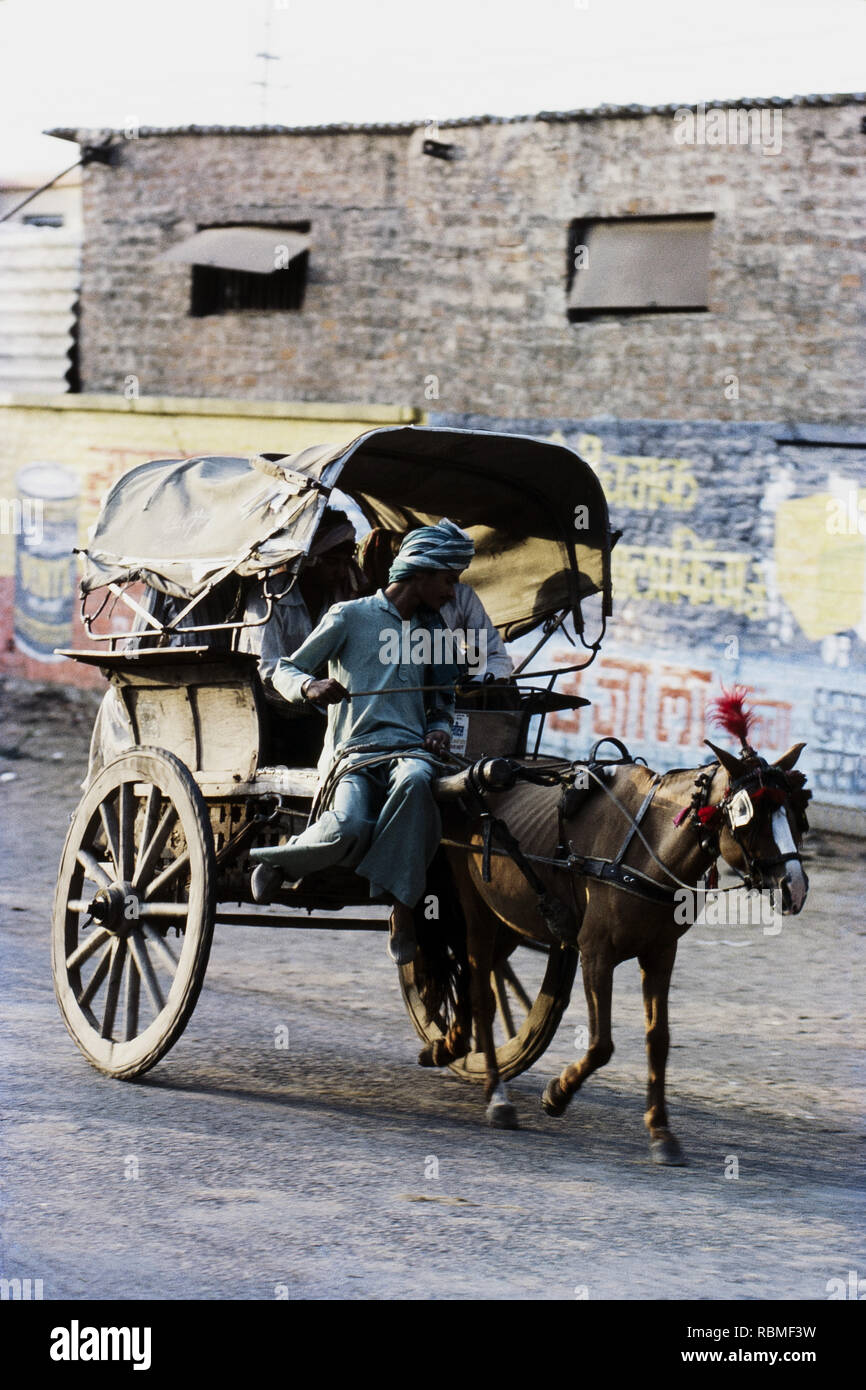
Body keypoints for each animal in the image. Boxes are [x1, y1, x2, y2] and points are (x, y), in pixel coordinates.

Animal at [430, 700, 811, 1156]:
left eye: (795, 811)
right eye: (748, 815)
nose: (795, 887)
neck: (645, 849)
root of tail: (474, 770)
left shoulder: (660, 953)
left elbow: (658, 1039)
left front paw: (660, 1129)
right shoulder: (596, 953)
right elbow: (601, 1043)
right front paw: (558, 1092)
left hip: (505, 917)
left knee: (474, 975)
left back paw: (450, 1043)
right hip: (476, 905)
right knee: (480, 990)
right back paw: (496, 1094)